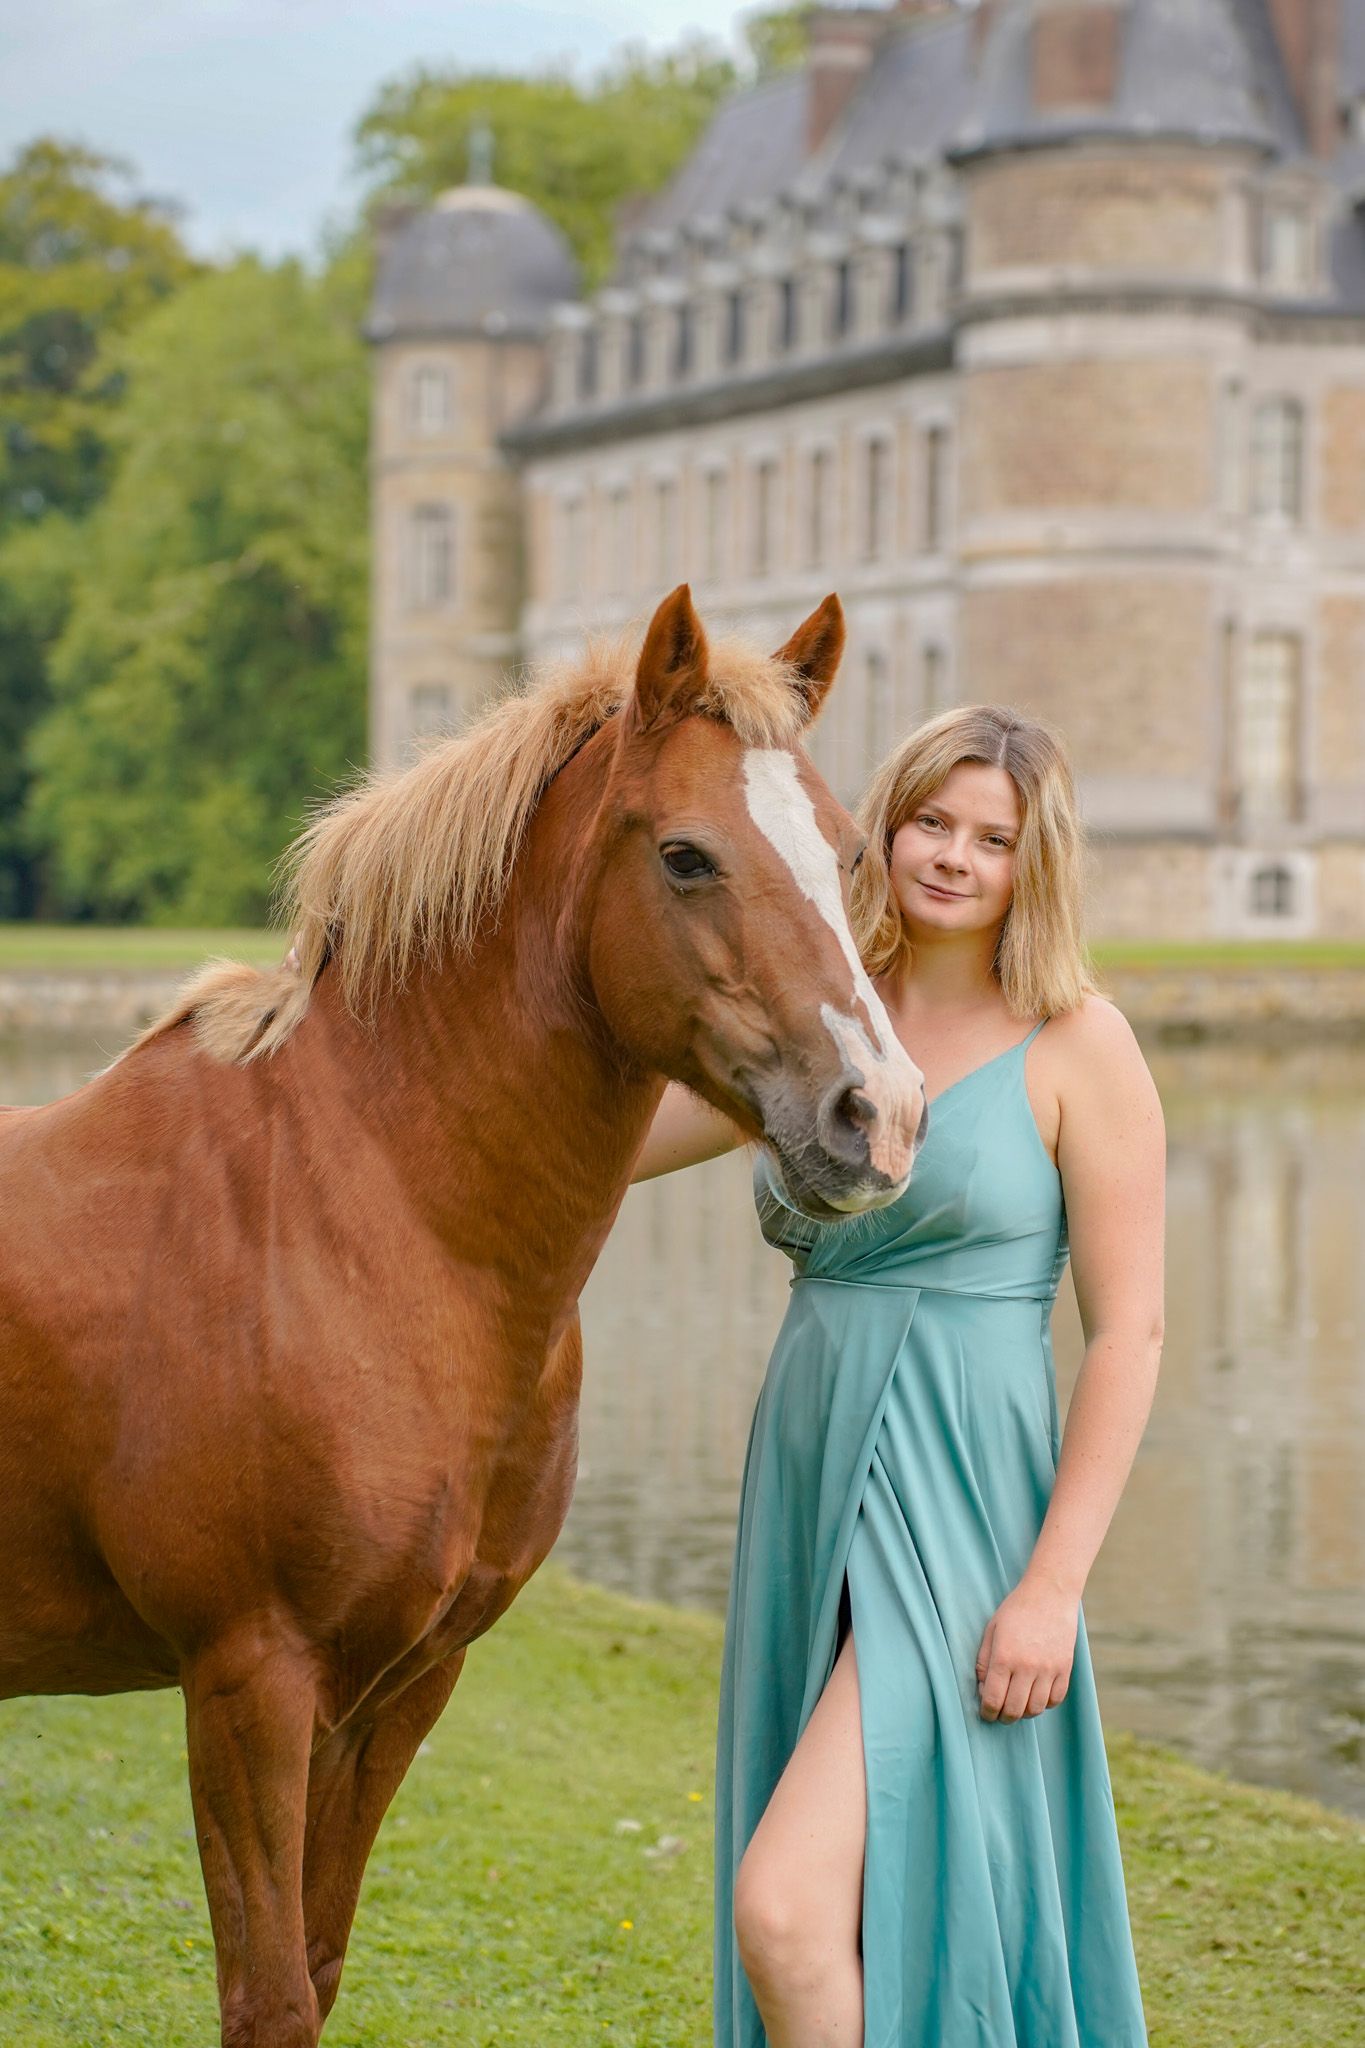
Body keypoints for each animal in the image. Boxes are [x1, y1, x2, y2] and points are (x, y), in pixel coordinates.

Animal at [0, 585, 927, 2047]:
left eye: (846, 856)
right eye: (685, 856)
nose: (876, 1114)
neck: (363, 1224)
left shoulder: (396, 1688)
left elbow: (316, 1966)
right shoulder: (247, 1680)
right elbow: (268, 1995)